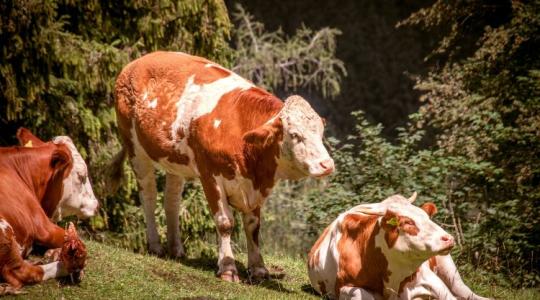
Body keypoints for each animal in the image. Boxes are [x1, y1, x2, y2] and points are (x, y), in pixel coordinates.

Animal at [110, 51, 334, 282]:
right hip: (135, 148)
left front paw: (258, 268)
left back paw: (176, 249)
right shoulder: (210, 176)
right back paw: (155, 246)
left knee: (171, 200)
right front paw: (227, 268)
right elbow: (225, 222)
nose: (327, 165)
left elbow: (253, 226)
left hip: (175, 159)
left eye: (320, 132)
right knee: (148, 194)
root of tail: (138, 61)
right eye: (295, 135)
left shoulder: (254, 187)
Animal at [308, 193, 490, 298]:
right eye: (408, 222)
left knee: (464, 291)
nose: (448, 238)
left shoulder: (430, 279)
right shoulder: (344, 287)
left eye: (428, 218)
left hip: (449, 269)